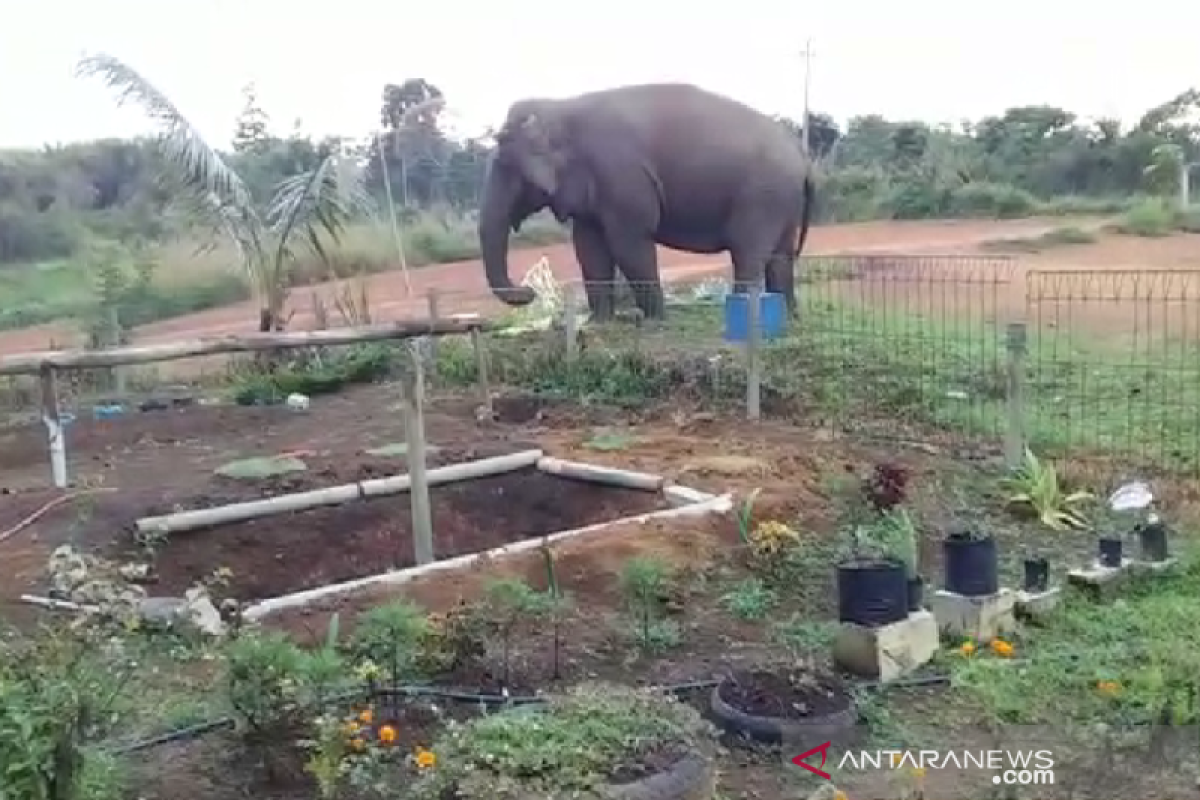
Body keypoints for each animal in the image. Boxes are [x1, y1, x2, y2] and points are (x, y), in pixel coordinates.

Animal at [477, 81, 816, 319]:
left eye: (505, 163)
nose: (529, 290)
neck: (561, 106)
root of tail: (802, 156)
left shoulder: (621, 175)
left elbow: (628, 244)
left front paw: (656, 320)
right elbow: (589, 248)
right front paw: (600, 322)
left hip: (762, 196)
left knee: (748, 253)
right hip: (783, 200)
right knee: (779, 258)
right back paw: (791, 315)